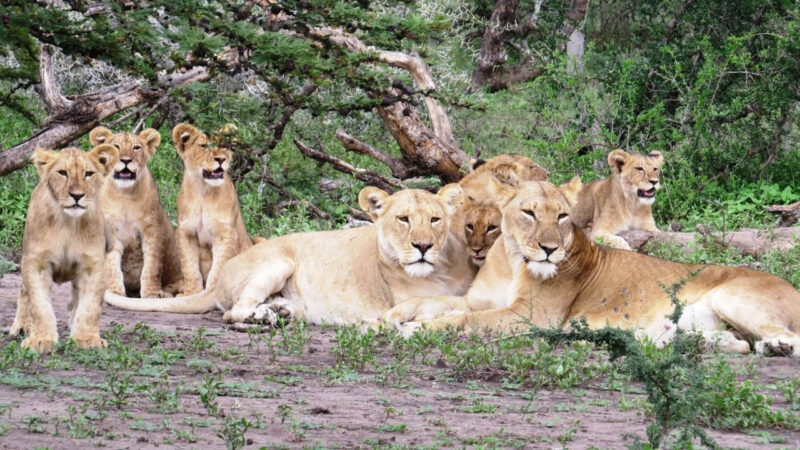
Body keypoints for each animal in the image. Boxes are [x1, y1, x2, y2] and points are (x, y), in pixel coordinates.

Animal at [9, 145, 119, 352]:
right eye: (62, 173)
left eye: (88, 174)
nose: (77, 196)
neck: (68, 223)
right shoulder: (36, 263)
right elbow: (39, 305)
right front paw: (40, 340)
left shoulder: (93, 265)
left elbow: (90, 306)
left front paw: (86, 339)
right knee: (23, 291)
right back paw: (21, 327)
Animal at [89, 126, 182, 298]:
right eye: (116, 147)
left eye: (136, 148)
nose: (126, 160)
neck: (125, 195)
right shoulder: (110, 233)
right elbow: (112, 265)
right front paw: (114, 290)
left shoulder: (152, 231)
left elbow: (152, 266)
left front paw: (151, 293)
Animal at [104, 185, 478, 329]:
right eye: (403, 219)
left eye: (435, 220)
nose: (423, 246)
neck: (440, 269)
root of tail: (219, 277)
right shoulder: (403, 299)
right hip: (278, 261)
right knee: (233, 312)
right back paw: (264, 318)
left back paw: (282, 311)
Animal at [171, 123, 256, 294]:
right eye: (204, 146)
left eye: (224, 146)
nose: (221, 159)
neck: (204, 192)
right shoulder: (186, 232)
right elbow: (190, 268)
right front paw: (192, 293)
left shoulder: (225, 234)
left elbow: (219, 268)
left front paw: (210, 293)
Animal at [386, 181, 800, 357]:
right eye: (529, 212)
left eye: (562, 216)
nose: (550, 249)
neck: (512, 259)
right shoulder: (479, 300)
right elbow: (435, 302)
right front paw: (392, 317)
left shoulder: (531, 315)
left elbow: (462, 320)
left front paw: (416, 329)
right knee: (738, 344)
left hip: (735, 298)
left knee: (784, 338)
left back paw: (777, 347)